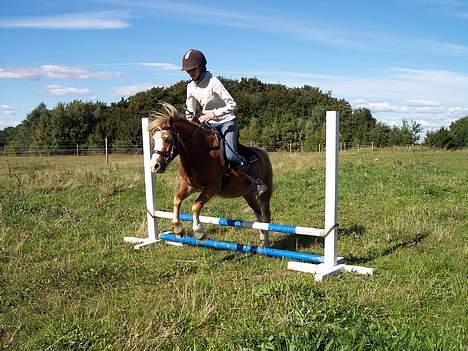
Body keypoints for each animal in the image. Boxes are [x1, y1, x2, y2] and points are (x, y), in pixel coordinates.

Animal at [150, 103, 272, 248]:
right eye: (153, 139)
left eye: (167, 138)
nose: (154, 166)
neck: (201, 151)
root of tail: (263, 154)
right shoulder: (189, 185)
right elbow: (177, 200)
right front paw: (178, 230)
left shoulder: (212, 188)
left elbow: (195, 206)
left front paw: (199, 232)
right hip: (247, 194)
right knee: (258, 214)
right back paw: (262, 239)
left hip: (265, 193)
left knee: (266, 216)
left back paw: (266, 241)